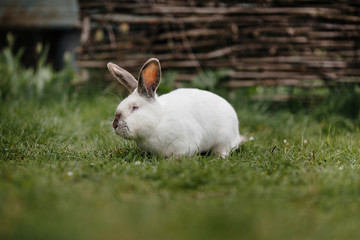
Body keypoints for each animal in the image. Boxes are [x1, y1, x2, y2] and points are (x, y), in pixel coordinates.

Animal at [105, 58, 243, 158]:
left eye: (135, 107)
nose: (114, 124)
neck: (158, 121)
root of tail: (237, 133)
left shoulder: (184, 144)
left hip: (224, 140)